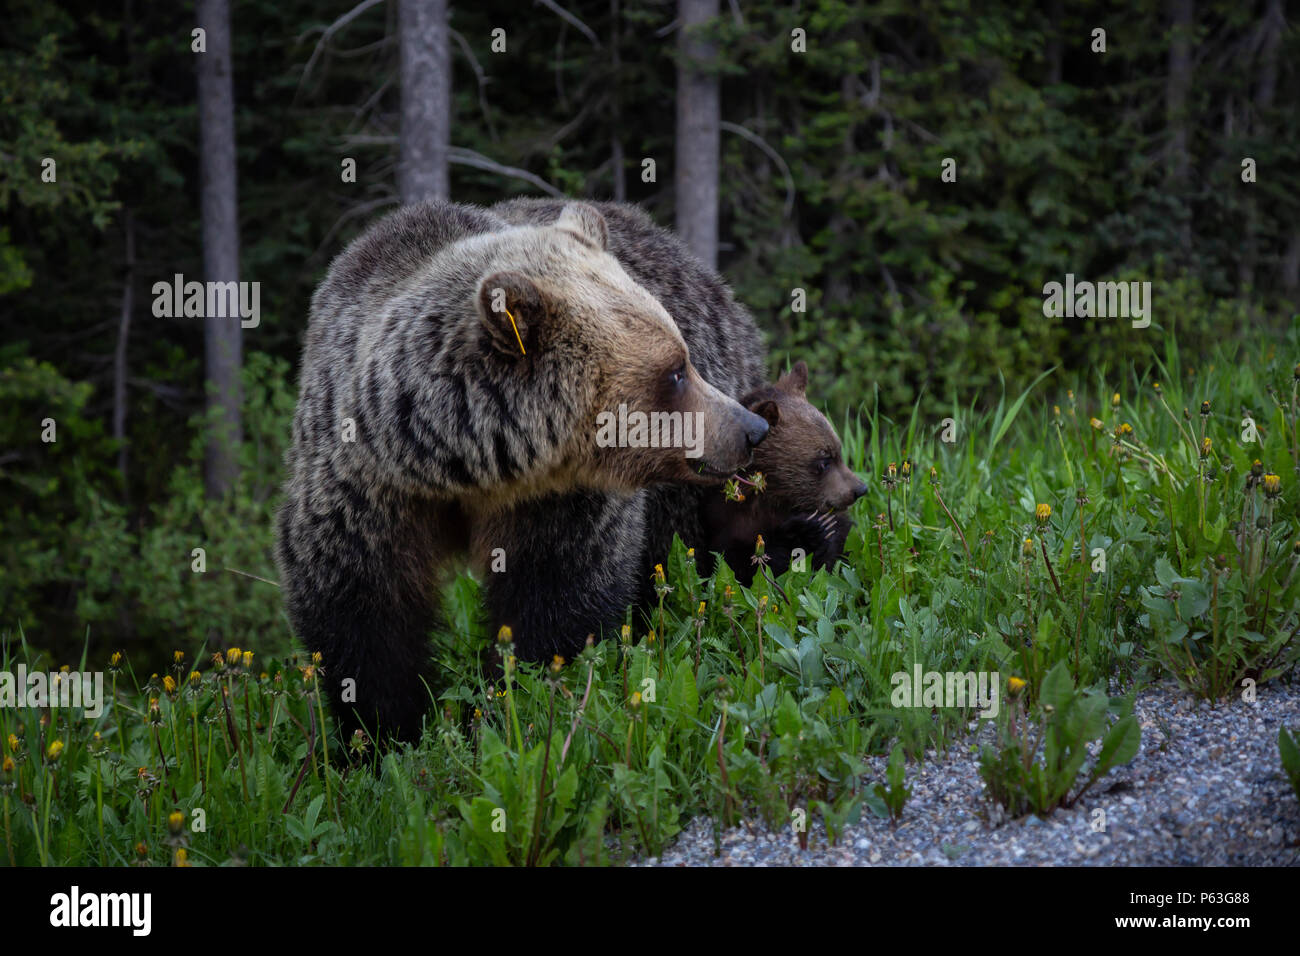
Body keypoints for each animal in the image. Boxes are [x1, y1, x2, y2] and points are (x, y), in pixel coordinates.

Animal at [275, 199, 770, 744]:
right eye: (675, 372)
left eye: (683, 357)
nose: (751, 428)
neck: (462, 465)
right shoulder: (366, 485)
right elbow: (362, 609)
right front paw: (384, 731)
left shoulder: (558, 497)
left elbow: (558, 592)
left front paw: (514, 698)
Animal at [699, 361, 868, 586]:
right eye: (824, 461)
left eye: (838, 451)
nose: (860, 489)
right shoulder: (725, 519)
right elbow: (741, 563)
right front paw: (810, 528)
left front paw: (821, 528)